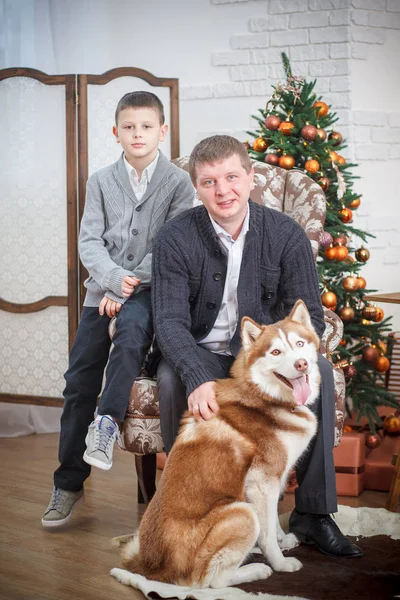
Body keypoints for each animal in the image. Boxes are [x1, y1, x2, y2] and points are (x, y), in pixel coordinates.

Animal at [118, 300, 318, 584]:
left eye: (299, 344)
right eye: (276, 351)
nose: (301, 364)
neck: (264, 397)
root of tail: (152, 567)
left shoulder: (275, 477)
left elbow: (273, 520)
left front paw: (283, 539)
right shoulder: (262, 481)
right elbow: (267, 532)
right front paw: (280, 561)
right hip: (242, 512)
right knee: (211, 580)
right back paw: (257, 569)